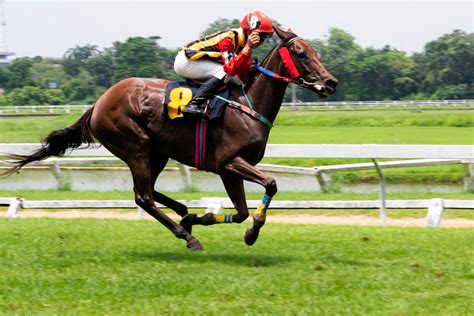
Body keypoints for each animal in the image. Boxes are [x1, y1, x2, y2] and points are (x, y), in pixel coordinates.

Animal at [4, 26, 336, 249]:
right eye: (302, 53)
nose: (331, 82)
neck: (247, 103)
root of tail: (98, 104)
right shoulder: (230, 162)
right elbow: (271, 184)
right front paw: (251, 233)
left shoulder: (229, 170)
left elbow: (241, 212)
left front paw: (206, 220)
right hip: (135, 146)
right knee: (143, 196)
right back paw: (186, 236)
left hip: (158, 151)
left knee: (148, 190)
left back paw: (183, 213)